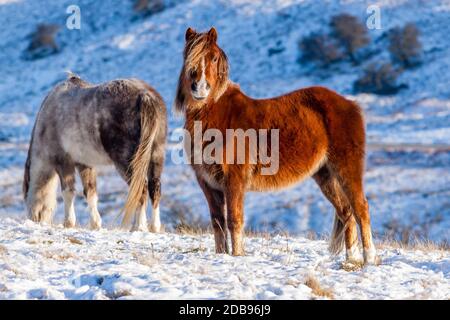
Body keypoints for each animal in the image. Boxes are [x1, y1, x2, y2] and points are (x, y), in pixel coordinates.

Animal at [176, 26, 380, 264]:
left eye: (214, 57)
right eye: (188, 56)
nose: (199, 88)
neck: (218, 114)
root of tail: (350, 104)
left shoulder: (234, 180)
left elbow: (234, 220)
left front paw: (237, 256)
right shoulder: (208, 184)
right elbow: (218, 222)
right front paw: (222, 256)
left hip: (346, 169)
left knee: (360, 208)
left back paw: (369, 260)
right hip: (325, 175)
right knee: (346, 211)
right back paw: (350, 260)